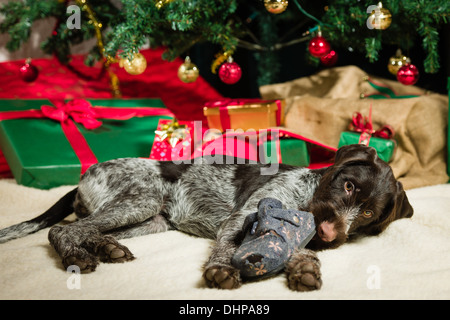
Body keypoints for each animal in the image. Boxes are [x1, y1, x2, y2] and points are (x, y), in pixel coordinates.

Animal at [0, 144, 412, 290]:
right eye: (348, 186)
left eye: (368, 213)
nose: (328, 232)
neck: (307, 195)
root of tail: (82, 178)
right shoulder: (241, 218)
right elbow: (227, 247)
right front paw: (220, 272)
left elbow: (301, 250)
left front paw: (306, 269)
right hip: (141, 199)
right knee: (62, 230)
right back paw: (76, 256)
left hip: (150, 219)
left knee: (86, 229)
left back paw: (106, 248)